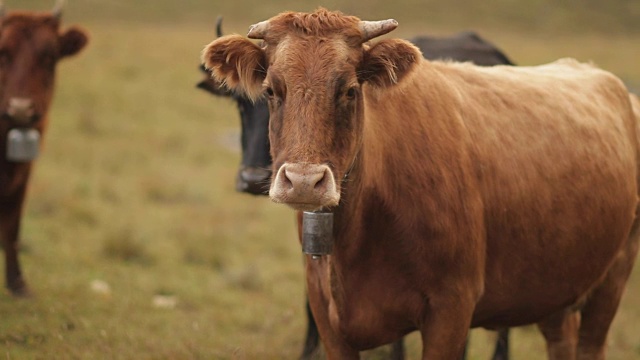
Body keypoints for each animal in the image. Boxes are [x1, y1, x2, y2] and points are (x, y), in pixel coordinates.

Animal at [0, 0, 89, 296]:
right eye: (3, 52)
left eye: (50, 57)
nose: (20, 109)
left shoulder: (23, 174)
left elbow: (13, 226)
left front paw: (18, 284)